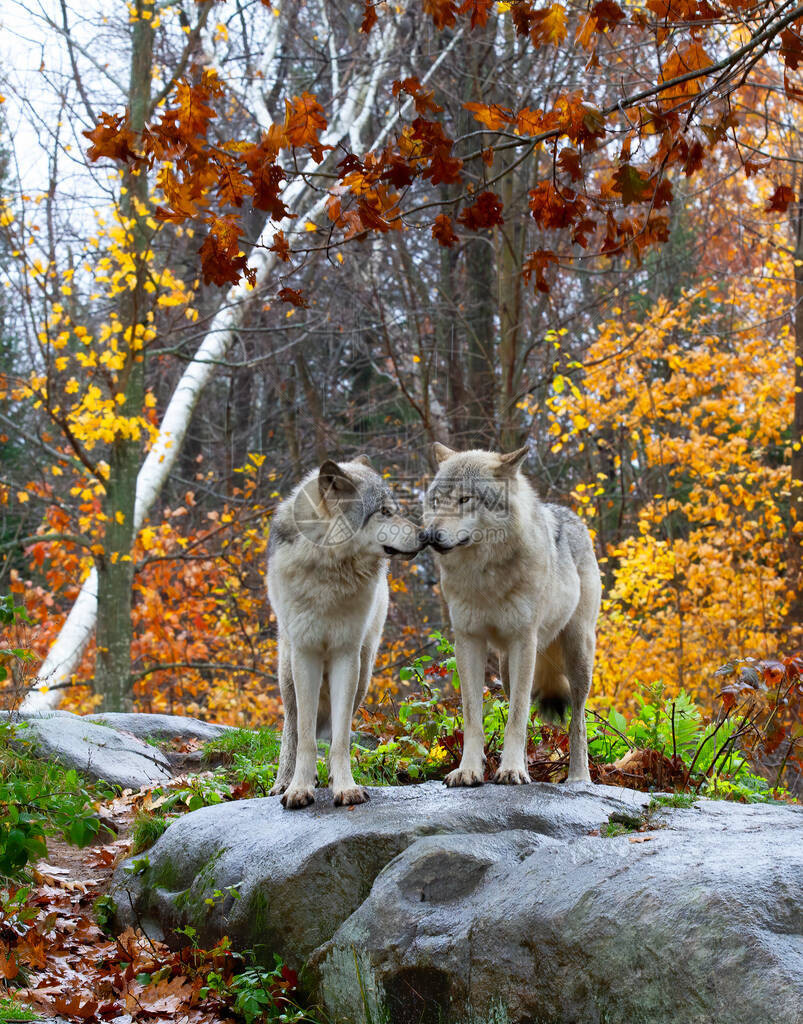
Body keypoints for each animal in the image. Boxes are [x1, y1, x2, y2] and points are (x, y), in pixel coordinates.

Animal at [266, 456, 424, 806]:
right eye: (384, 511)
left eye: (393, 508)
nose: (426, 535)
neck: (330, 572)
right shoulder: (306, 655)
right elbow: (306, 737)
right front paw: (299, 789)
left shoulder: (345, 655)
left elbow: (339, 740)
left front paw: (345, 787)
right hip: (287, 674)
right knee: (292, 728)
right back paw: (283, 783)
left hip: (363, 673)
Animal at [424, 442, 598, 782]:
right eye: (437, 502)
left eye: (465, 499)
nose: (429, 536)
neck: (485, 578)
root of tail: (572, 515)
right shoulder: (468, 641)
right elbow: (474, 717)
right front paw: (469, 771)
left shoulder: (524, 641)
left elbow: (516, 717)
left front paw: (512, 770)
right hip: (505, 669)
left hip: (577, 656)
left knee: (578, 720)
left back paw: (578, 778)